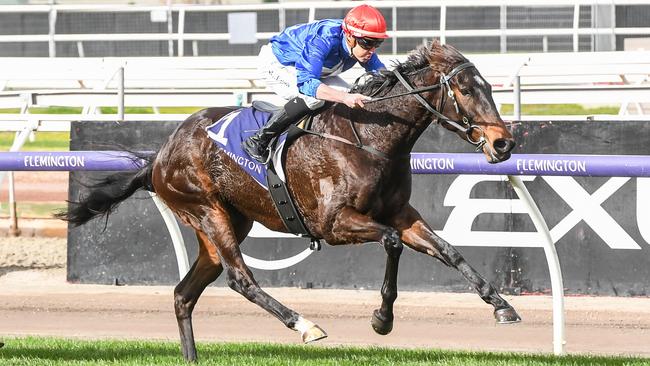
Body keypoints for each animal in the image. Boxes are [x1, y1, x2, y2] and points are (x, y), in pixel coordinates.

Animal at [59, 41, 516, 362]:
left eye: (489, 87)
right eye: (464, 89)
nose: (503, 143)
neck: (370, 138)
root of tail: (161, 154)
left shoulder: (401, 213)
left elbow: (449, 251)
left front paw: (501, 305)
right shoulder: (334, 224)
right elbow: (390, 242)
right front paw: (382, 319)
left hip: (228, 222)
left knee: (184, 293)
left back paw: (192, 357)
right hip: (207, 211)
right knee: (240, 279)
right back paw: (304, 324)